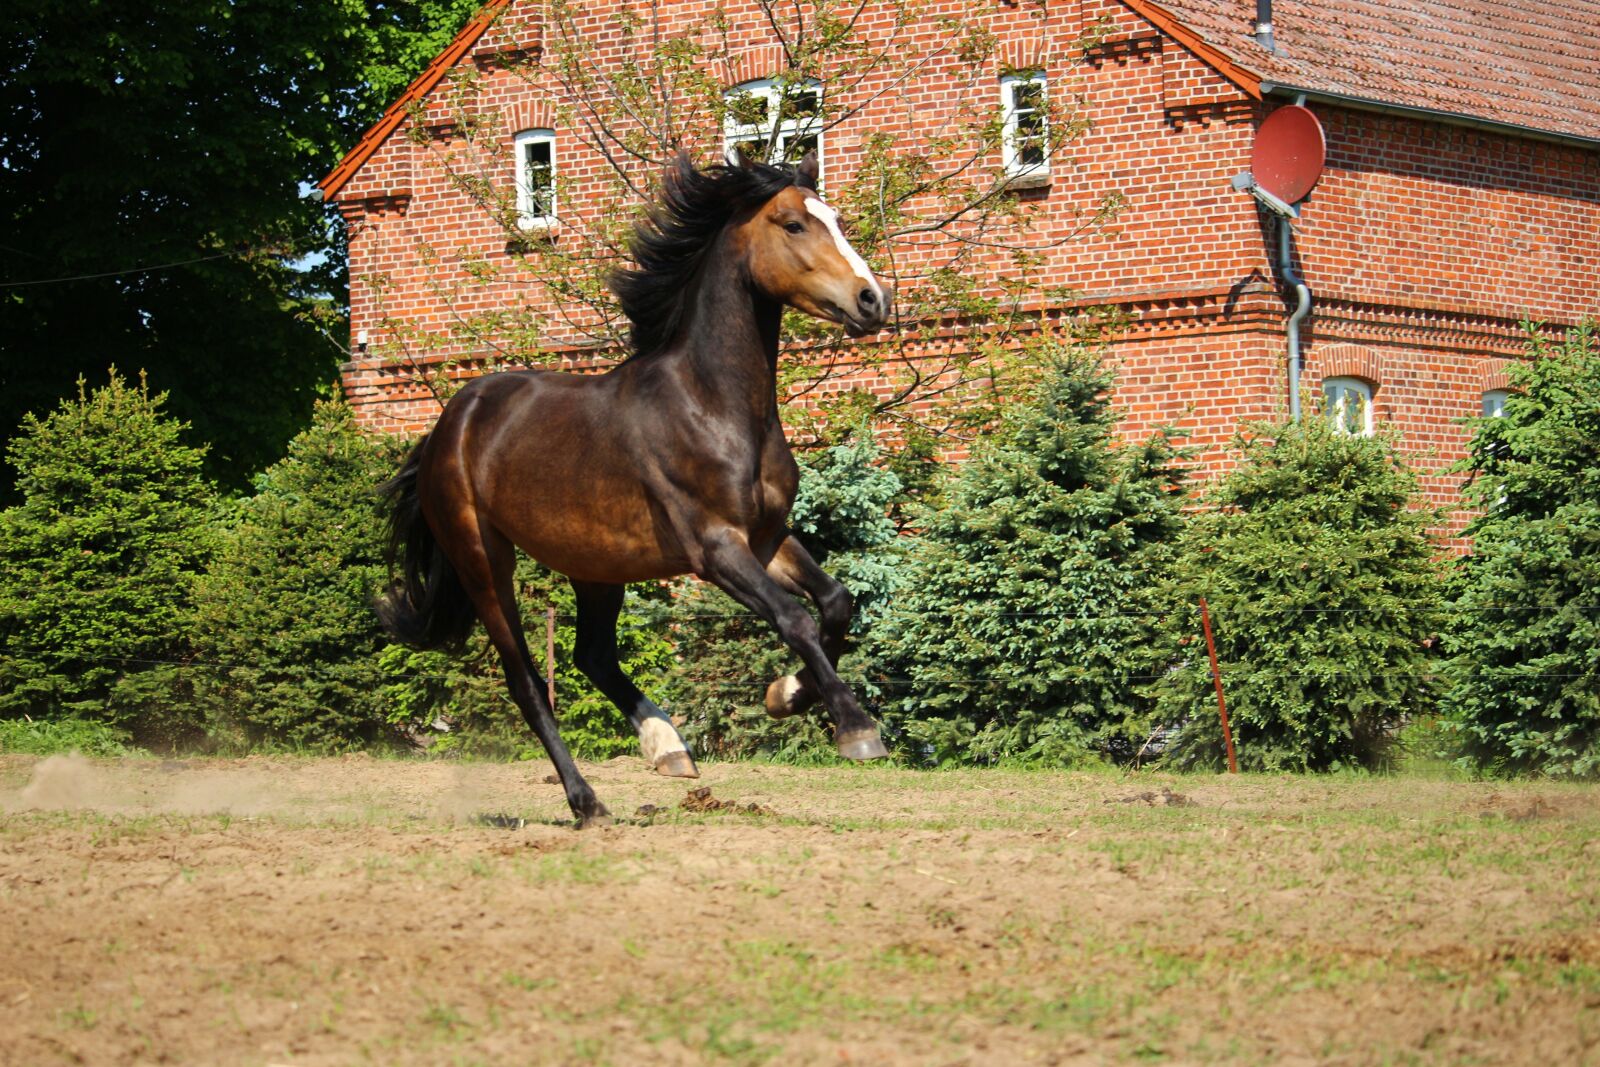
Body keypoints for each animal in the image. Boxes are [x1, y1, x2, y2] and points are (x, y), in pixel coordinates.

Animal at [377, 151, 894, 826]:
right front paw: (856, 729)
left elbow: (835, 603)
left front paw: (783, 695)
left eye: (837, 219)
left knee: (591, 656)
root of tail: (448, 426)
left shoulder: (765, 538)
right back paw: (588, 801)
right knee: (527, 682)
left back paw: (666, 746)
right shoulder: (714, 548)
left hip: (596, 566)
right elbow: (795, 619)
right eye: (792, 224)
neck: (712, 404)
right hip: (483, 561)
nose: (873, 299)